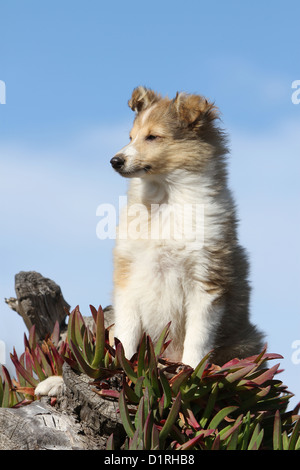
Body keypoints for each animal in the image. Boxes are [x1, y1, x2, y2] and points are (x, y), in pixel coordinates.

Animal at [109, 87, 262, 368]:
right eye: (131, 137)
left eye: (153, 137)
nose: (115, 161)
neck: (165, 200)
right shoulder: (127, 272)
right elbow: (126, 330)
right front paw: (120, 363)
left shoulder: (207, 280)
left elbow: (198, 336)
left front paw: (191, 370)